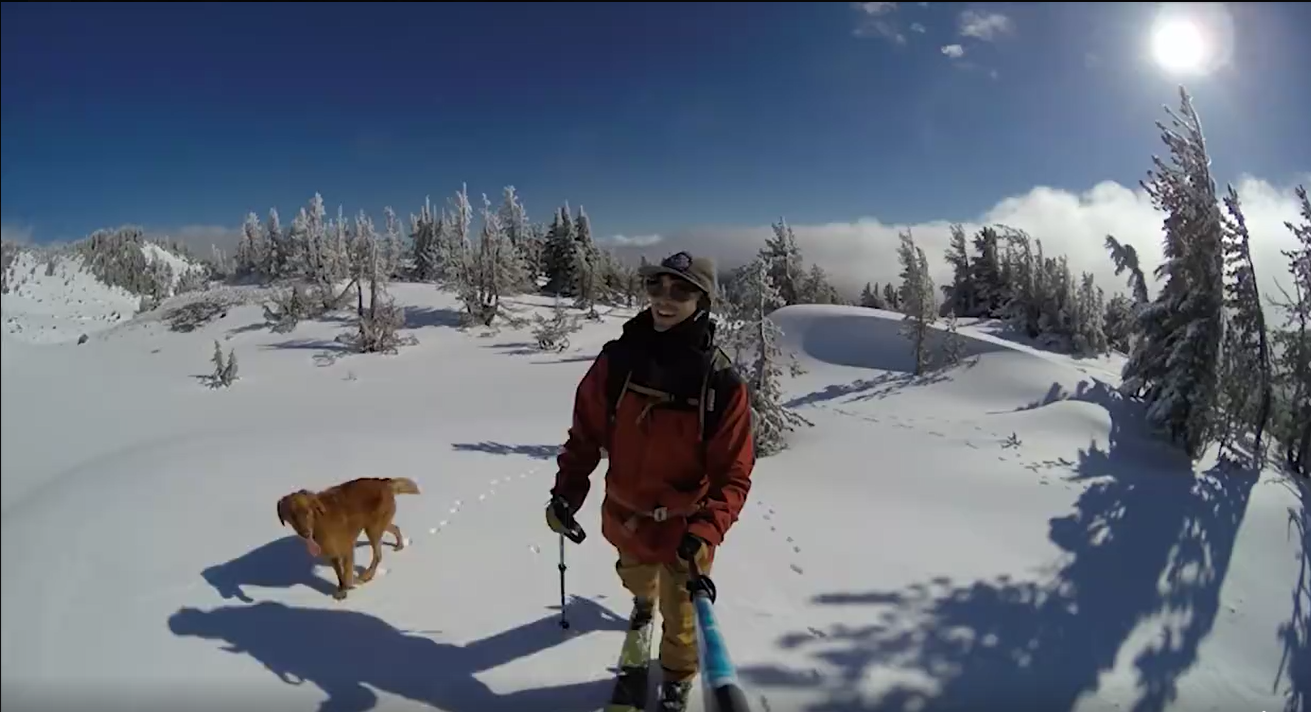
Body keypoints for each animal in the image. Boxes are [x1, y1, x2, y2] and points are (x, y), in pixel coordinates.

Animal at [276, 477, 419, 597]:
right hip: (376, 525)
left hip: (373, 529)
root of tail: (384, 482)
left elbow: (347, 575)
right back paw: (399, 545)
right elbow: (340, 574)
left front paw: (351, 585)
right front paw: (341, 590)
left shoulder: (347, 549)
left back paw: (367, 575)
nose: (305, 534)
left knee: (378, 555)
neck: (318, 522)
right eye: (292, 516)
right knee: (395, 528)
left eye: (306, 512)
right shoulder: (332, 554)